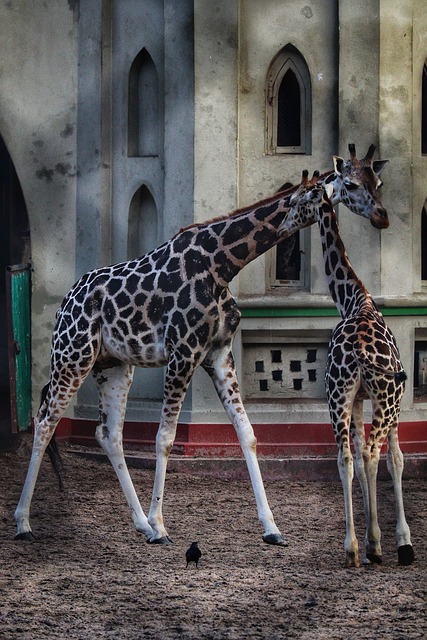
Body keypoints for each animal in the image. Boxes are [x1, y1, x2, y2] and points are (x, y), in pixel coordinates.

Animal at [15, 144, 392, 544]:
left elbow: (248, 434)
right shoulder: (182, 352)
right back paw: (24, 522)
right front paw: (161, 524)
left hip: (114, 366)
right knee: (45, 420)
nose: (381, 216)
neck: (222, 263)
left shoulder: (219, 354)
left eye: (378, 181)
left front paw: (271, 527)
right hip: (72, 355)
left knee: (109, 433)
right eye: (350, 183)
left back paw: (139, 524)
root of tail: (64, 302)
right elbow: (165, 437)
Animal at [280, 172, 416, 568]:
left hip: (336, 397)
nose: (283, 223)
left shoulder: (355, 400)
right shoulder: (393, 402)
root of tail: (357, 349)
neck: (357, 298)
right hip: (385, 398)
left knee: (345, 456)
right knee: (371, 452)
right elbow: (395, 459)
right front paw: (400, 540)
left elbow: (358, 454)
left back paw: (352, 548)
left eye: (299, 200)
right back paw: (371, 544)